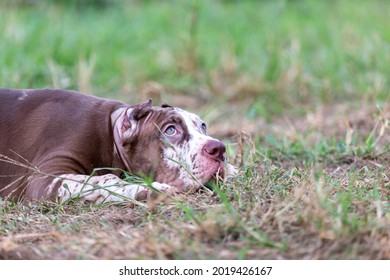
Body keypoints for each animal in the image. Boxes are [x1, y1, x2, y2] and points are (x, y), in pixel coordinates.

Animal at [0, 89, 235, 203]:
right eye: (170, 130)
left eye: (203, 127)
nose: (219, 149)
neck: (109, 133)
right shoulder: (46, 178)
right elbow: (103, 180)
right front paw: (149, 189)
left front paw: (232, 170)